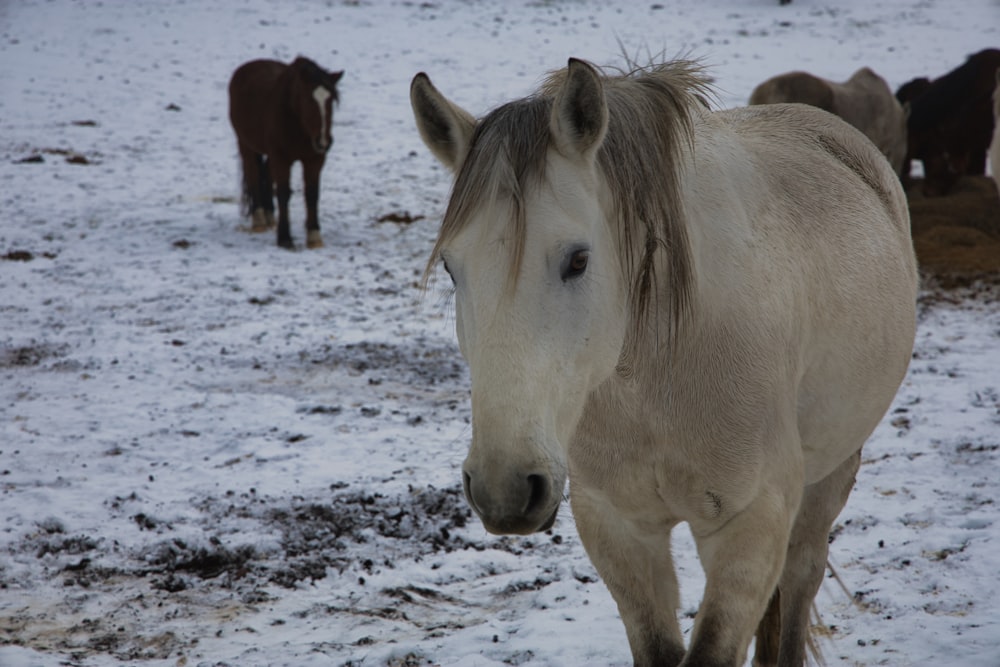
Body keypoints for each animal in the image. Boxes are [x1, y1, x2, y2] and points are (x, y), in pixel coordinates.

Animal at [229, 56, 346, 249]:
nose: (323, 141)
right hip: (245, 144)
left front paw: (314, 236)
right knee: (253, 173)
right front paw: (284, 237)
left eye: (331, 101)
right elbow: (283, 193)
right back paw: (259, 219)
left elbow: (312, 194)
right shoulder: (282, 159)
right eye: (308, 100)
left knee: (266, 173)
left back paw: (269, 215)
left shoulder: (314, 159)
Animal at [410, 60, 916, 664]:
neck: (656, 376)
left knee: (798, 586)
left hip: (831, 475)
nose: (504, 489)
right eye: (451, 268)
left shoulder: (750, 526)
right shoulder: (617, 527)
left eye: (578, 259)